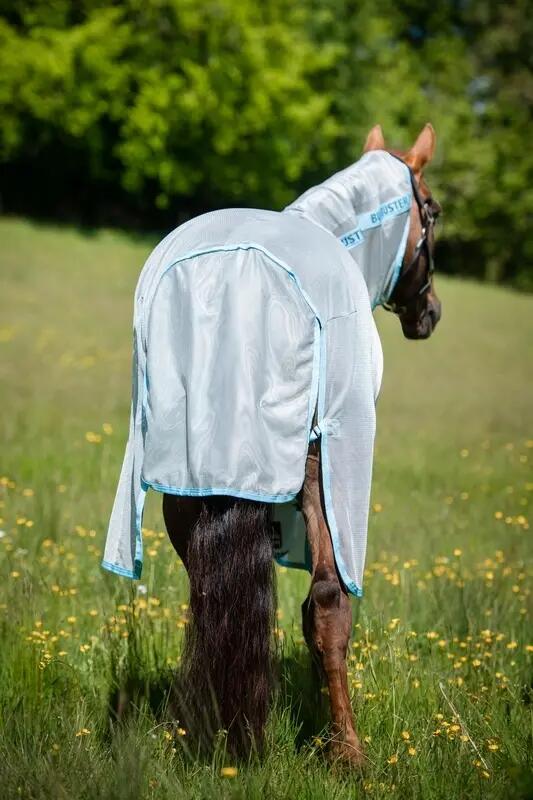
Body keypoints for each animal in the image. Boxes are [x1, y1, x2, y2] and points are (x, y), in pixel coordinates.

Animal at [103, 123, 441, 765]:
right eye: (432, 211)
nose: (429, 313)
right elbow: (325, 605)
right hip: (318, 469)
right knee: (328, 603)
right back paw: (347, 752)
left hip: (186, 479)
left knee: (207, 594)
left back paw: (203, 729)